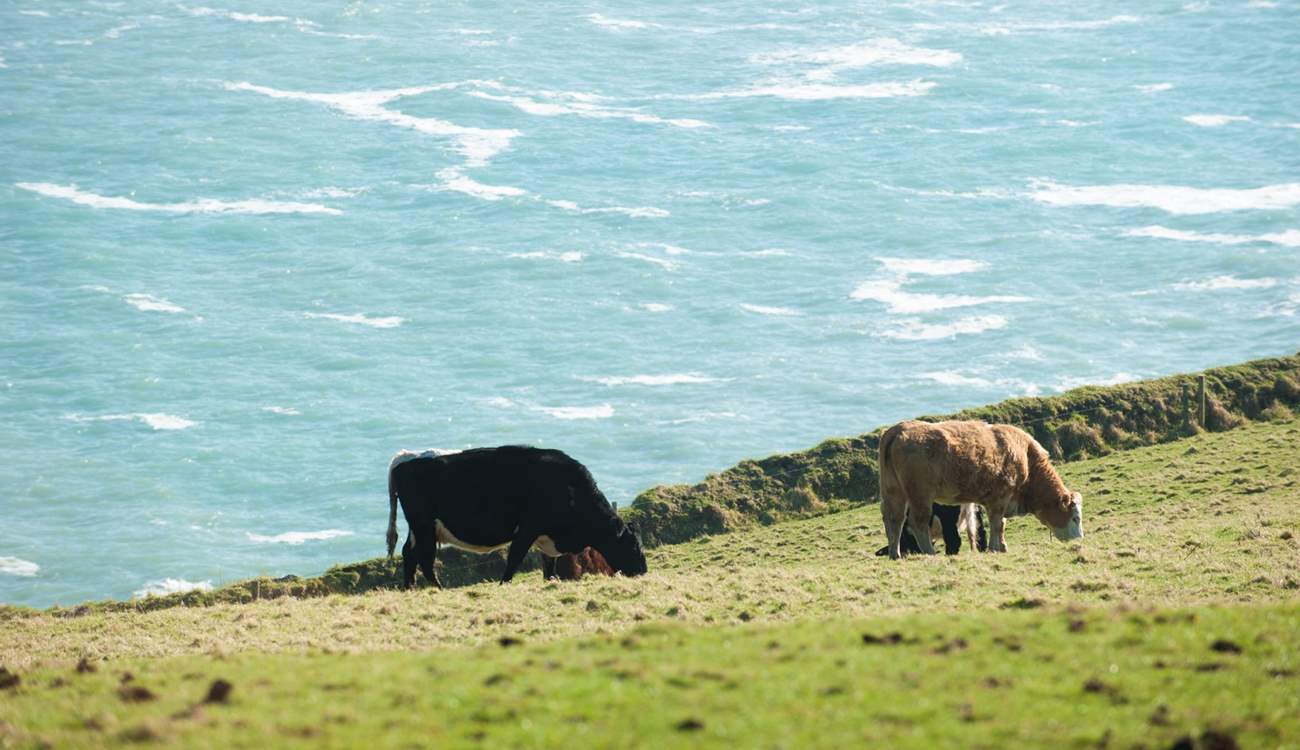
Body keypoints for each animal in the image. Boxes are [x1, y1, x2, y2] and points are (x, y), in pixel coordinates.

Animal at [386, 446, 647, 589]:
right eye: (634, 547)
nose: (643, 571)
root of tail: (404, 457)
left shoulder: (544, 535)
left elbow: (548, 564)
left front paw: (551, 582)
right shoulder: (528, 528)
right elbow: (514, 559)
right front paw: (504, 584)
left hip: (418, 528)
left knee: (409, 554)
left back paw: (410, 588)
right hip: (424, 526)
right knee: (425, 559)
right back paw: (438, 589)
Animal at [879, 420, 1083, 559]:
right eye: (1075, 518)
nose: (1079, 540)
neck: (1026, 457)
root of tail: (899, 429)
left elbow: (1001, 525)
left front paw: (1002, 546)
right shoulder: (1000, 498)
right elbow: (997, 523)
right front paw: (994, 548)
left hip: (893, 491)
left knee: (894, 520)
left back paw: (895, 554)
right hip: (920, 495)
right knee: (917, 522)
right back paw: (929, 552)